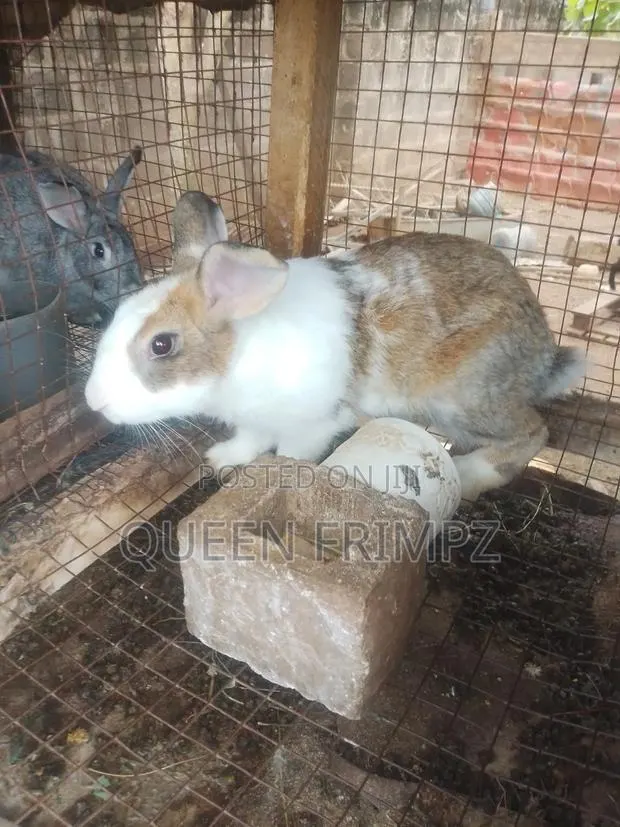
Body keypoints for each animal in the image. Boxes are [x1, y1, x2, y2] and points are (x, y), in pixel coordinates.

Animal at [84, 190, 586, 502]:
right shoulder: (255, 420)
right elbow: (250, 440)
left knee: (534, 432)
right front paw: (223, 460)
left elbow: (289, 454)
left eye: (161, 345)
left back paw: (468, 475)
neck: (241, 355)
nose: (93, 402)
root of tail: (544, 353)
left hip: (465, 397)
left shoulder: (313, 425)